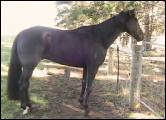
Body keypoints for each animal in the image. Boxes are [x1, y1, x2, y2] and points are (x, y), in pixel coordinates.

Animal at [7, 8, 143, 116]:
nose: (142, 36)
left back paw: (29, 106)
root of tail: (22, 33)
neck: (98, 37)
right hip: (29, 66)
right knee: (23, 84)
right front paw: (87, 109)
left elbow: (83, 83)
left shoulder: (86, 67)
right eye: (135, 21)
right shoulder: (93, 67)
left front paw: (81, 103)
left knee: (26, 84)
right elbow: (89, 87)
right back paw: (25, 107)